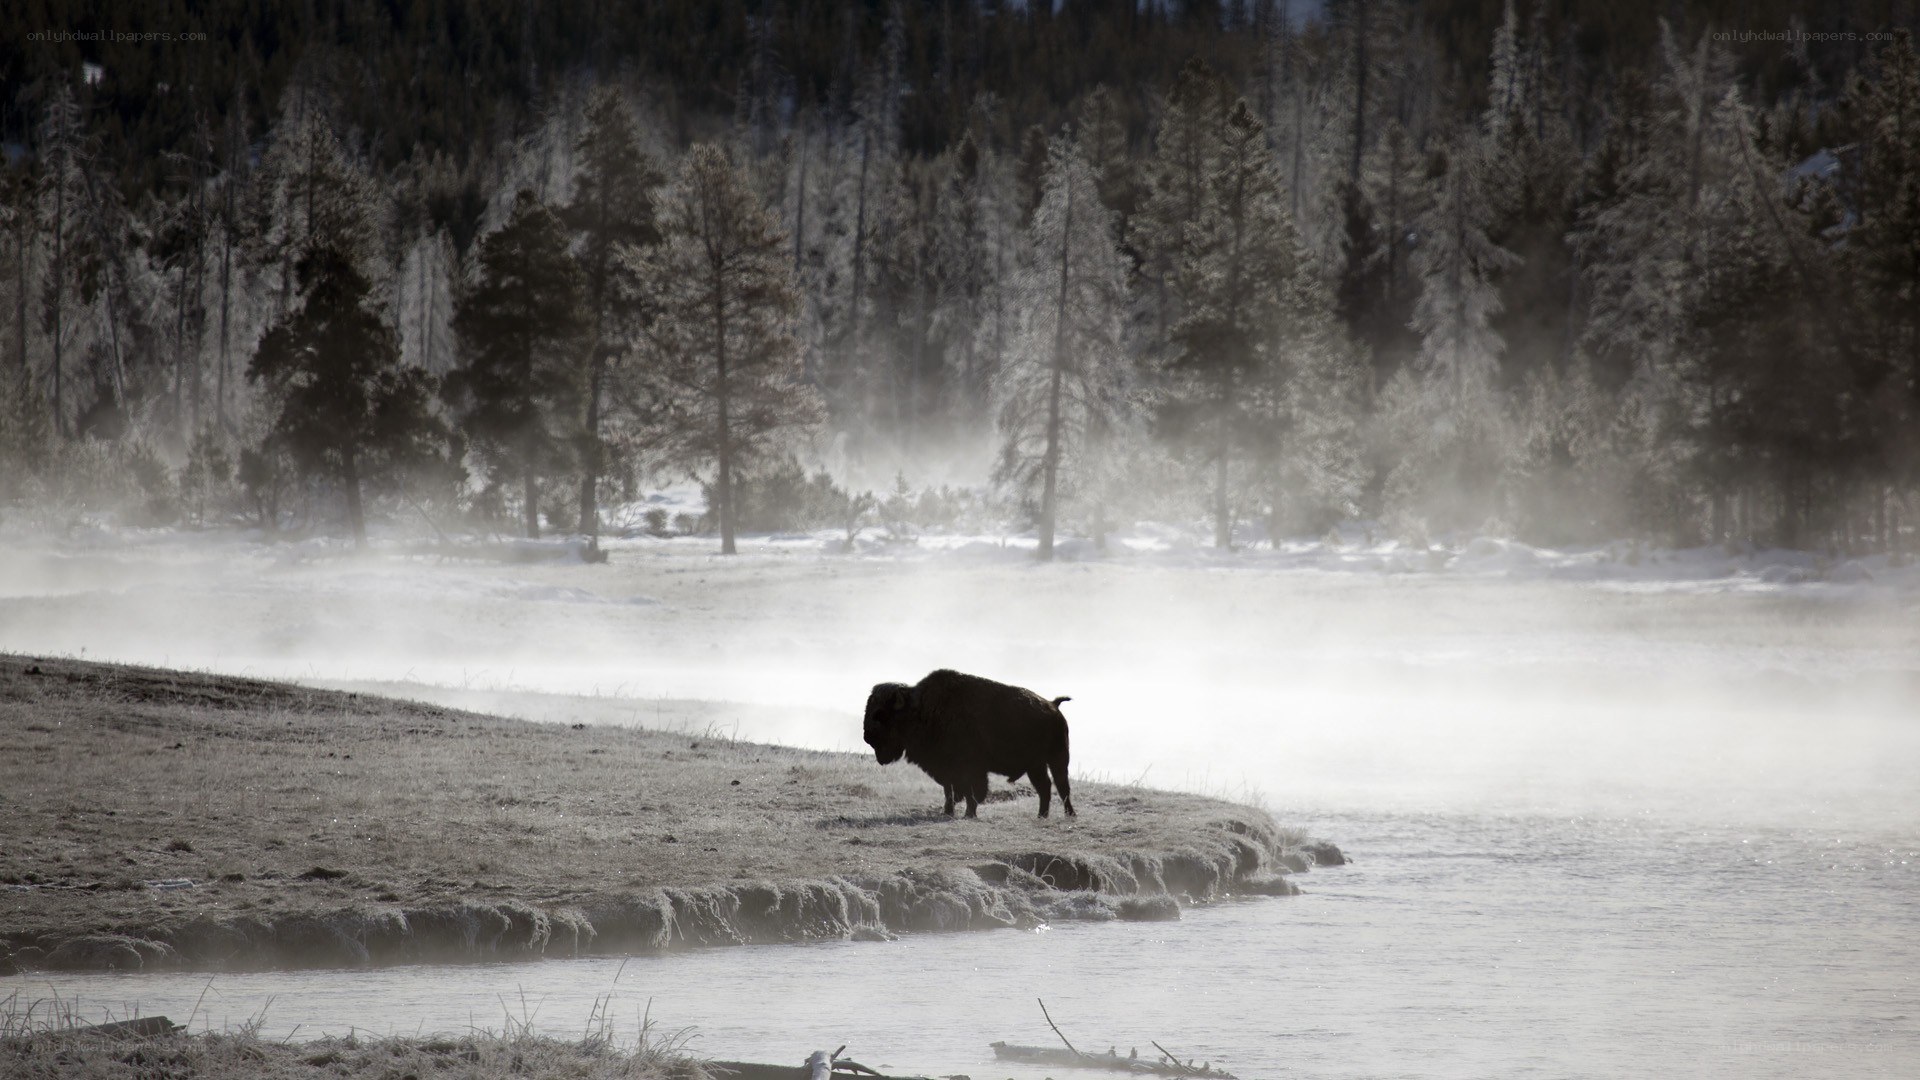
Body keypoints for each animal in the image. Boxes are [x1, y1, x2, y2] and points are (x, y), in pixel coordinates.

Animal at [862, 669, 1075, 818]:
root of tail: (1053, 706)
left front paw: (969, 814)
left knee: (1061, 786)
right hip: (1035, 766)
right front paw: (949, 812)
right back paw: (1042, 816)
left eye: (880, 714)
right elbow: (949, 791)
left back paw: (1069, 814)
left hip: (1057, 759)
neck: (921, 710)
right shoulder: (946, 770)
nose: (867, 735)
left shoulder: (971, 770)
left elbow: (971, 792)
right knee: (1045, 787)